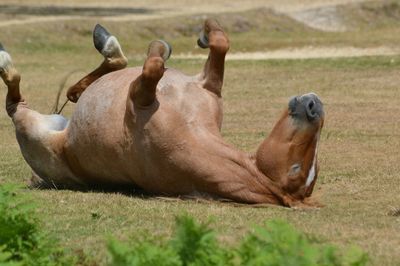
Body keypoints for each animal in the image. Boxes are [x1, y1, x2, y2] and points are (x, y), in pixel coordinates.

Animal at [0, 20, 324, 208]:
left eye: (297, 169)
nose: (315, 106)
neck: (192, 131)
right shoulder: (208, 85)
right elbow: (220, 44)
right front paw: (206, 31)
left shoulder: (139, 97)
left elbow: (153, 66)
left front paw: (160, 48)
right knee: (103, 72)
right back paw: (93, 64)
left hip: (31, 129)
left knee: (14, 100)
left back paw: (7, 62)